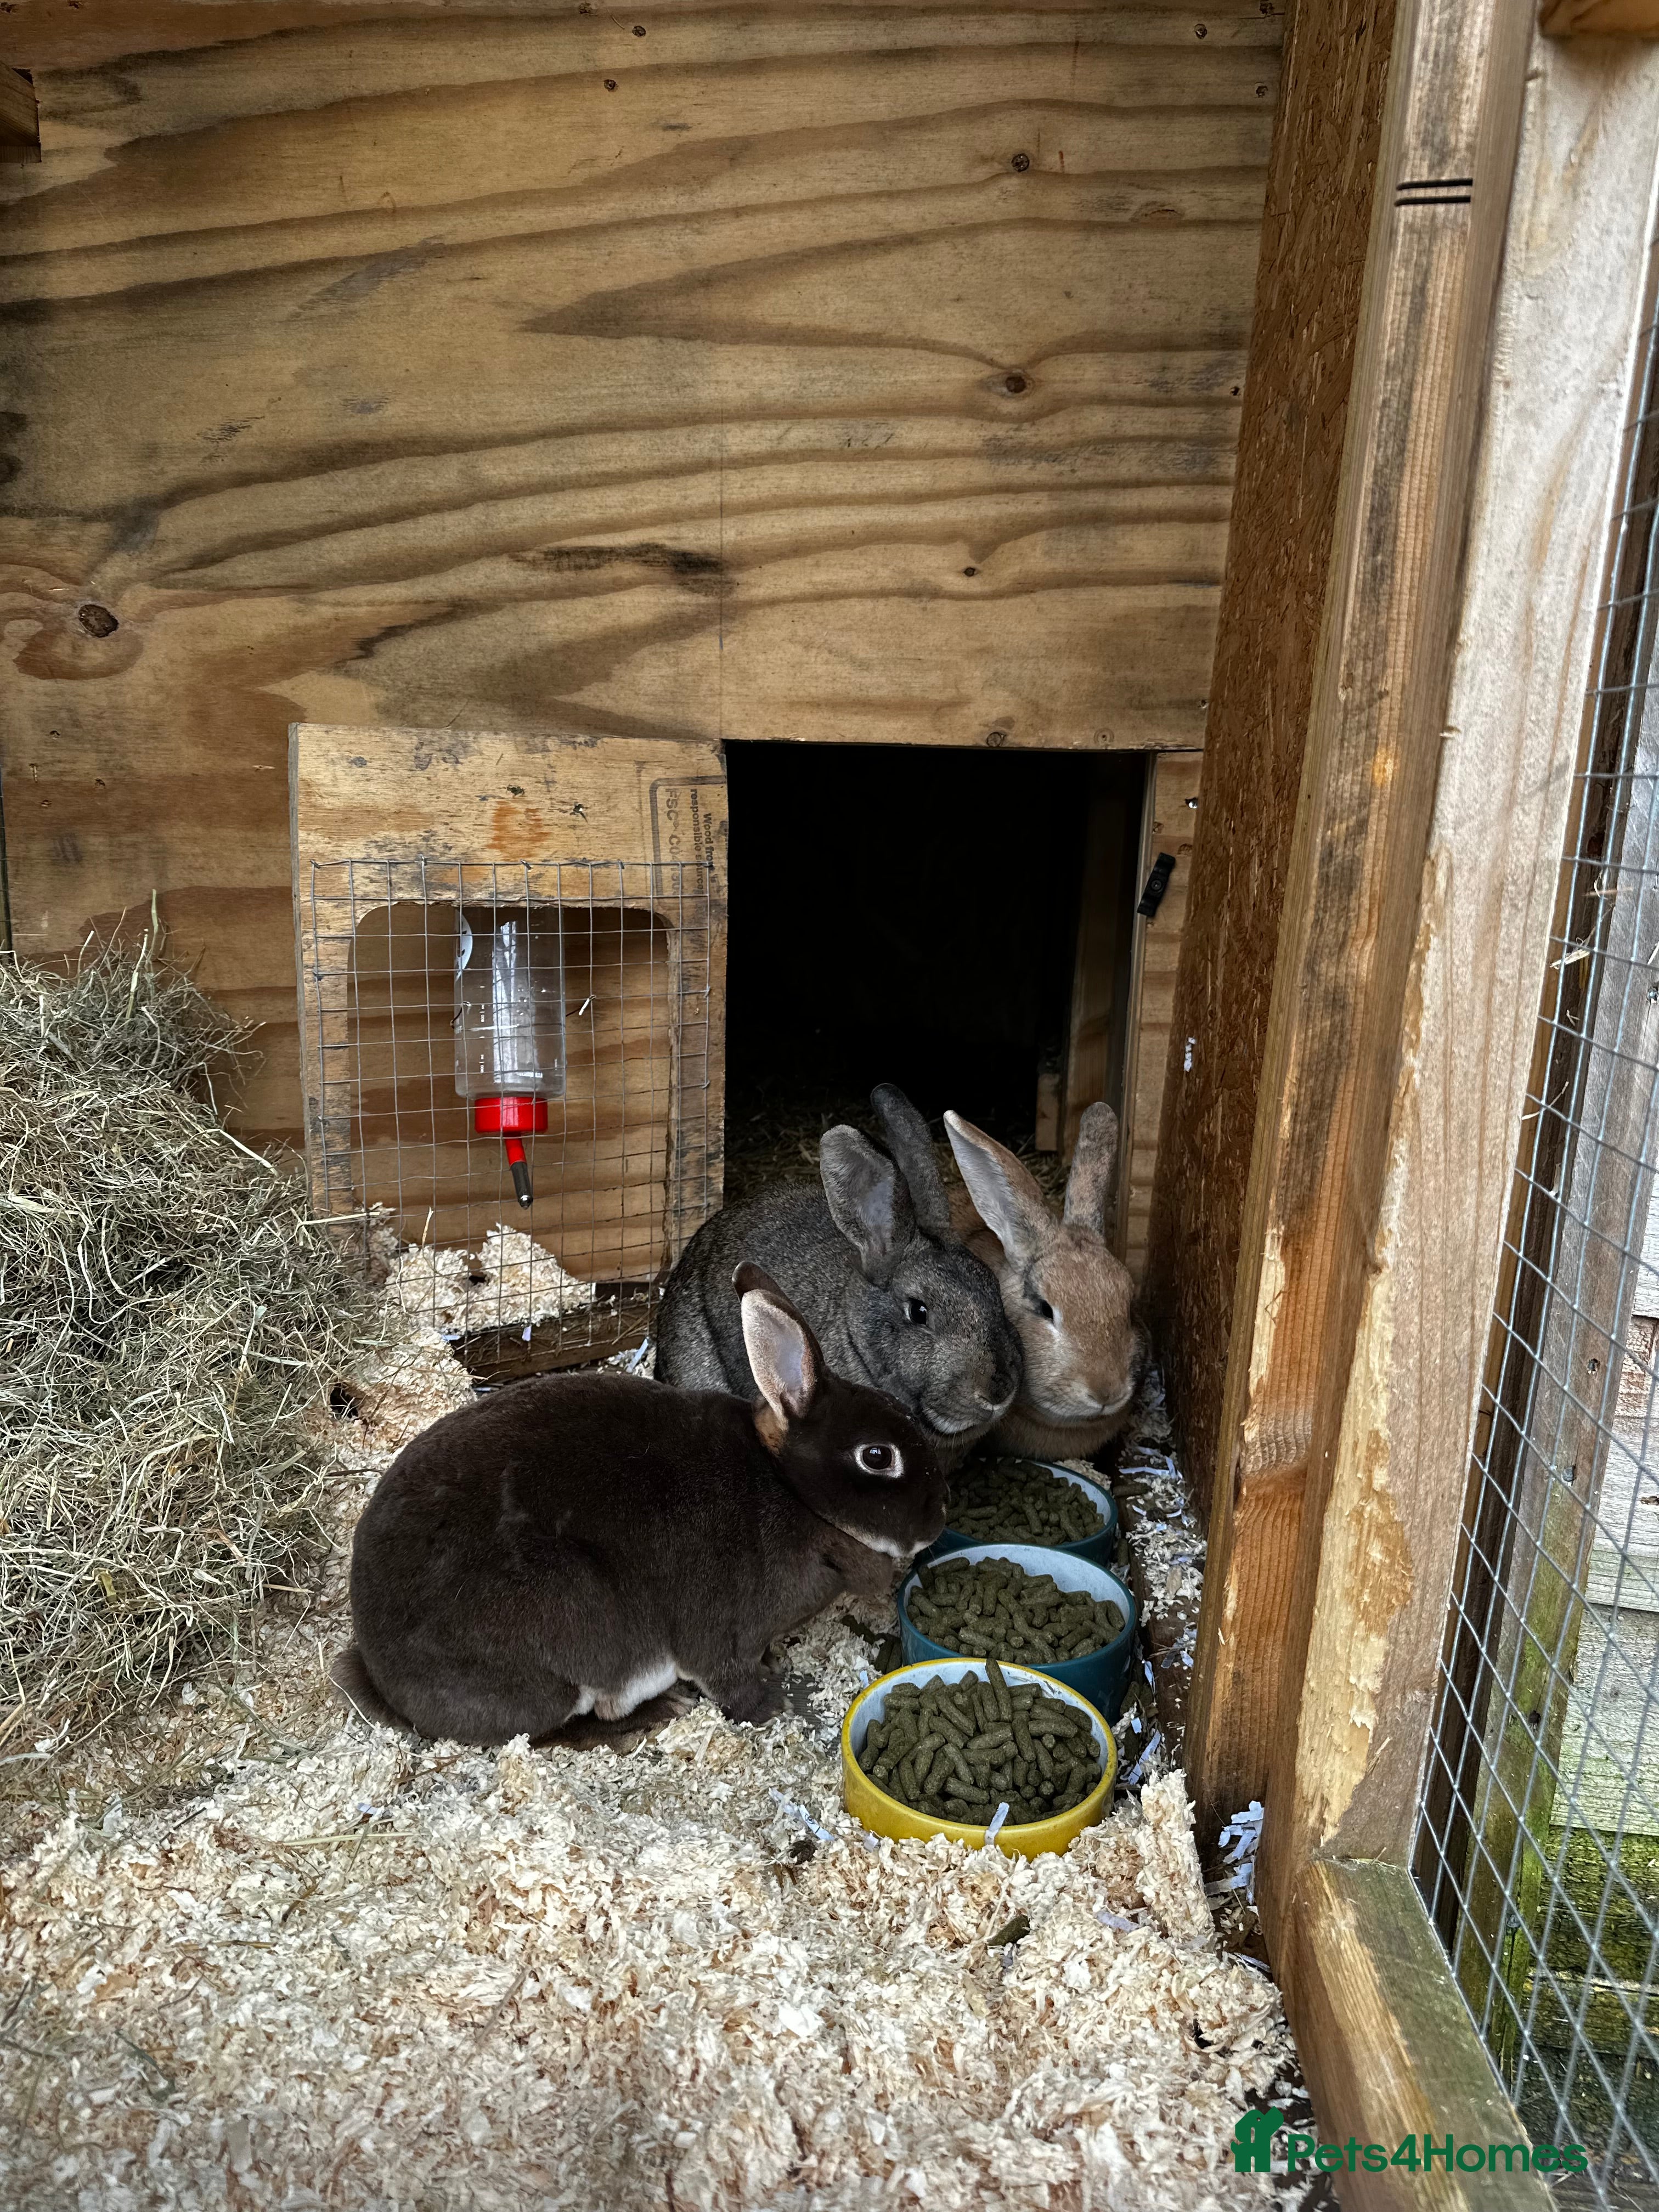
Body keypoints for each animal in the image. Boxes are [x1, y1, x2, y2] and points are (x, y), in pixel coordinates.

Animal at [345, 1263, 946, 1746]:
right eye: (877, 1457)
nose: (937, 1523)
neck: (791, 1490)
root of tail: (382, 1677)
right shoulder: (723, 1629)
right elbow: (728, 1676)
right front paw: (770, 1706)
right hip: (569, 1631)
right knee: (551, 1731)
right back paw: (656, 1712)